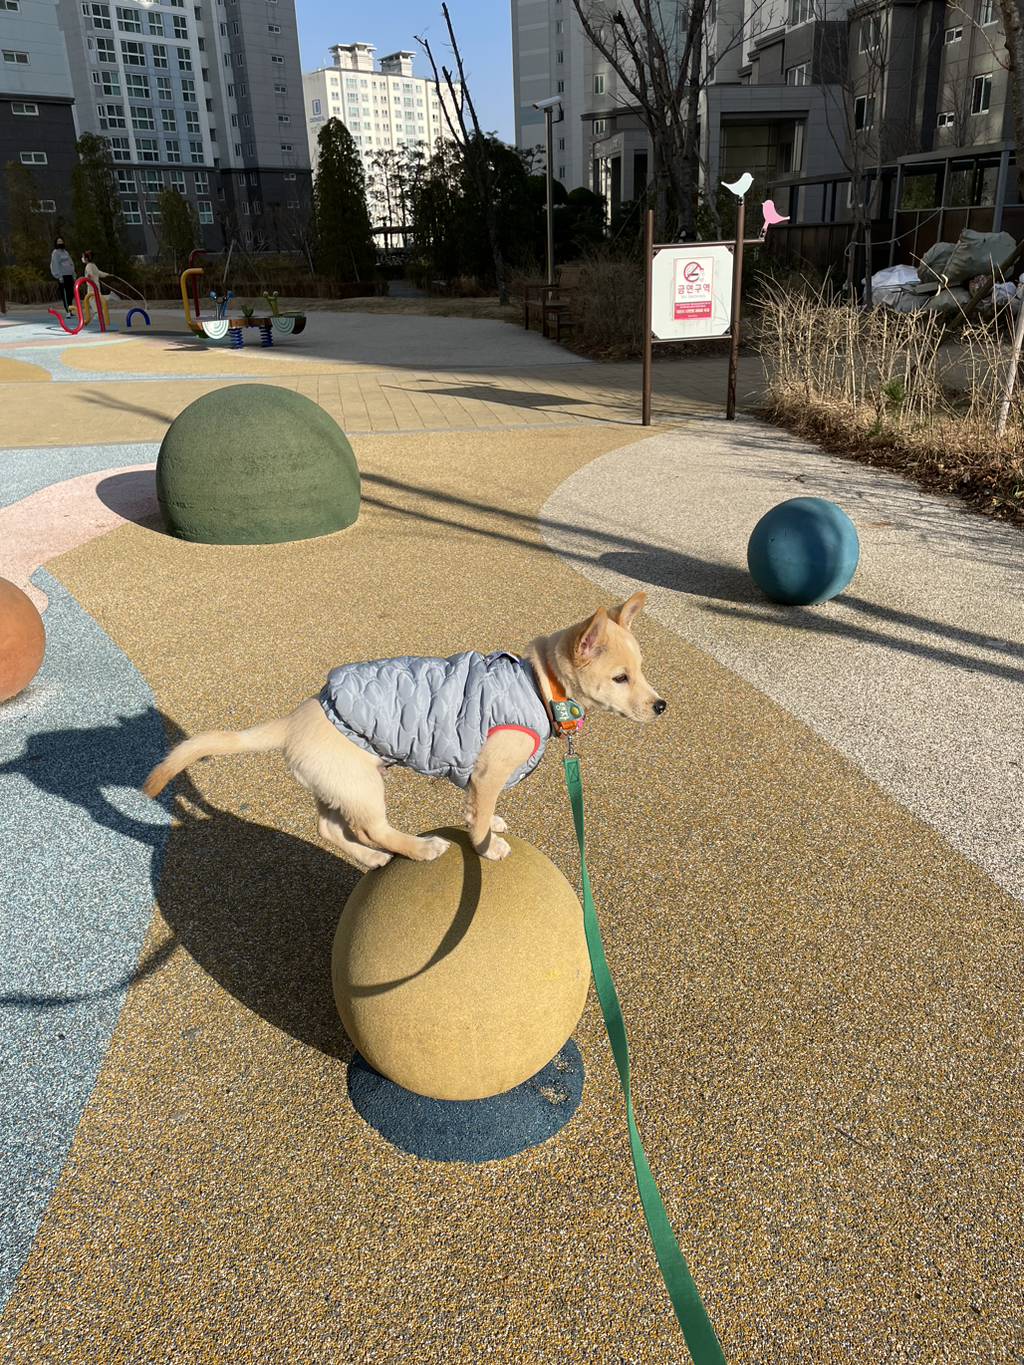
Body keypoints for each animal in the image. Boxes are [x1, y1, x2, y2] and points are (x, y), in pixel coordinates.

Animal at [142, 592, 666, 868]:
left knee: (330, 827)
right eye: (621, 678)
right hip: (363, 785)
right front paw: (488, 846)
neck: (540, 686)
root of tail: (297, 717)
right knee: (373, 828)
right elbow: (477, 818)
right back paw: (421, 848)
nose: (661, 705)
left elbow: (482, 812)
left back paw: (372, 860)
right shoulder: (486, 775)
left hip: (341, 784)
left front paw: (494, 824)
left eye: (642, 670)